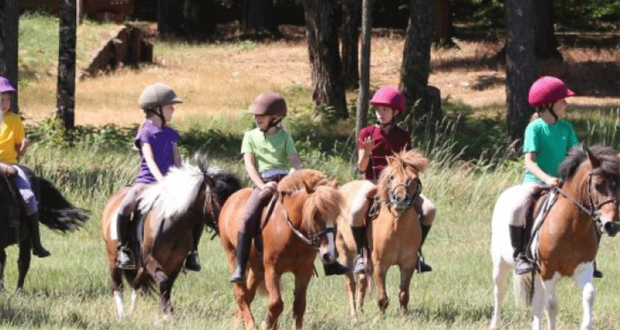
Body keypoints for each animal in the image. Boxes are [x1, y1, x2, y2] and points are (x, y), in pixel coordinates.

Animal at [100, 160, 241, 320]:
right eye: (219, 198)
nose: (232, 223)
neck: (174, 224)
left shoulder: (175, 263)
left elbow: (167, 287)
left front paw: (167, 315)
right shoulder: (150, 259)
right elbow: (163, 282)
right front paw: (166, 315)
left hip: (142, 266)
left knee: (137, 283)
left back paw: (131, 311)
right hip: (113, 258)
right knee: (118, 286)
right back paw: (122, 315)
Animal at [218, 169, 344, 328]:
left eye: (336, 214)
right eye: (315, 215)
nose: (330, 254)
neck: (291, 231)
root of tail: (231, 199)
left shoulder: (304, 271)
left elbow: (299, 305)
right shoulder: (272, 269)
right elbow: (276, 304)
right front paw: (266, 325)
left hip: (256, 268)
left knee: (248, 294)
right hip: (233, 256)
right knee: (240, 294)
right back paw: (251, 325)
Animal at [336, 150, 428, 318]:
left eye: (413, 179)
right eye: (391, 177)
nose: (400, 199)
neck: (397, 226)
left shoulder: (408, 263)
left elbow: (404, 294)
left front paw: (404, 318)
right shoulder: (380, 264)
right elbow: (382, 297)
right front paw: (381, 318)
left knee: (362, 280)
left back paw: (360, 309)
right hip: (345, 250)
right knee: (350, 283)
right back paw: (354, 314)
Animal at [490, 146, 620, 330]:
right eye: (597, 185)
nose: (612, 225)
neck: (572, 227)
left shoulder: (583, 269)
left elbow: (589, 294)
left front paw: (586, 324)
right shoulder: (548, 272)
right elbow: (551, 306)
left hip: (536, 274)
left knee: (536, 302)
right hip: (500, 263)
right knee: (499, 292)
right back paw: (494, 324)